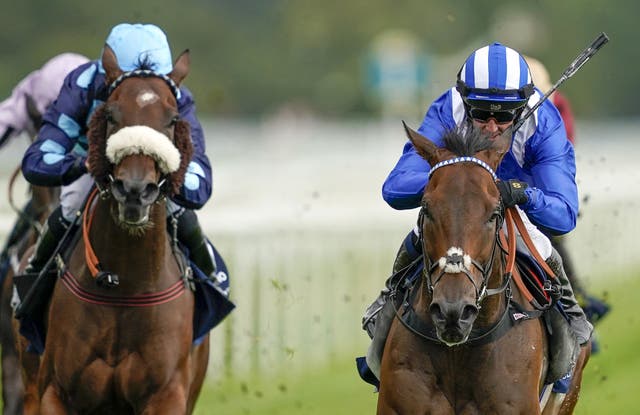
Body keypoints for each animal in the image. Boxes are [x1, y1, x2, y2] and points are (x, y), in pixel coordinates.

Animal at [14, 44, 210, 414]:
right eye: (112, 114)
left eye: (172, 120)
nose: (134, 190)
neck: (126, 286)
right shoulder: (53, 393)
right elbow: (41, 153)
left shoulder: (168, 395)